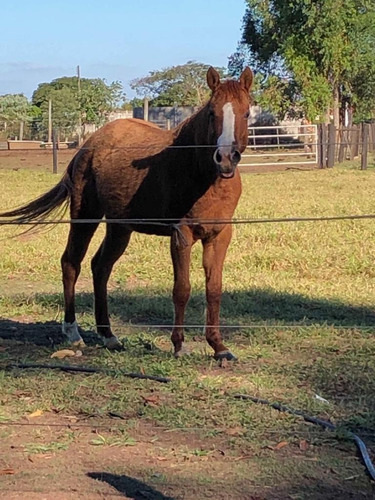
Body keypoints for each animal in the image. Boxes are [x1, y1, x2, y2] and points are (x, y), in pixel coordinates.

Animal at [1, 66, 254, 360]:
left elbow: (214, 289)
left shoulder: (220, 235)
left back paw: (109, 336)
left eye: (246, 113)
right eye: (212, 113)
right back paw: (73, 332)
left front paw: (219, 347)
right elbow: (182, 289)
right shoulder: (181, 235)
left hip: (119, 228)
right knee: (71, 262)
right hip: (85, 216)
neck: (202, 174)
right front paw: (179, 345)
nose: (225, 158)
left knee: (100, 267)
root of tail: (89, 144)